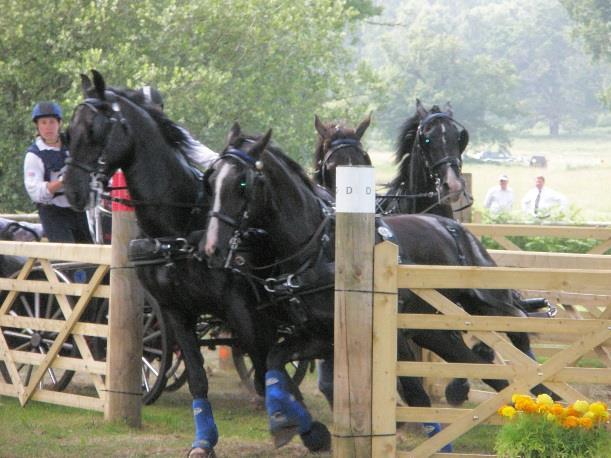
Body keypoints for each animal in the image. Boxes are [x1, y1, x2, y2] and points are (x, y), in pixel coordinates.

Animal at [62, 70, 274, 458]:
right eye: (69, 131)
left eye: (95, 130)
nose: (71, 190)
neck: (183, 223)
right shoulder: (175, 310)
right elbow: (197, 378)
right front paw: (204, 441)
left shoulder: (239, 307)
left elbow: (265, 364)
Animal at [202, 127, 560, 452]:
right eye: (211, 179)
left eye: (243, 183)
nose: (213, 247)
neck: (317, 247)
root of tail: (453, 226)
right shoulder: (318, 337)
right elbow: (275, 362)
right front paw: (289, 423)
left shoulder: (371, 337)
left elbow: (414, 393)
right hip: (434, 331)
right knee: (487, 371)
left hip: (487, 304)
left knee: (518, 337)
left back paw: (550, 401)